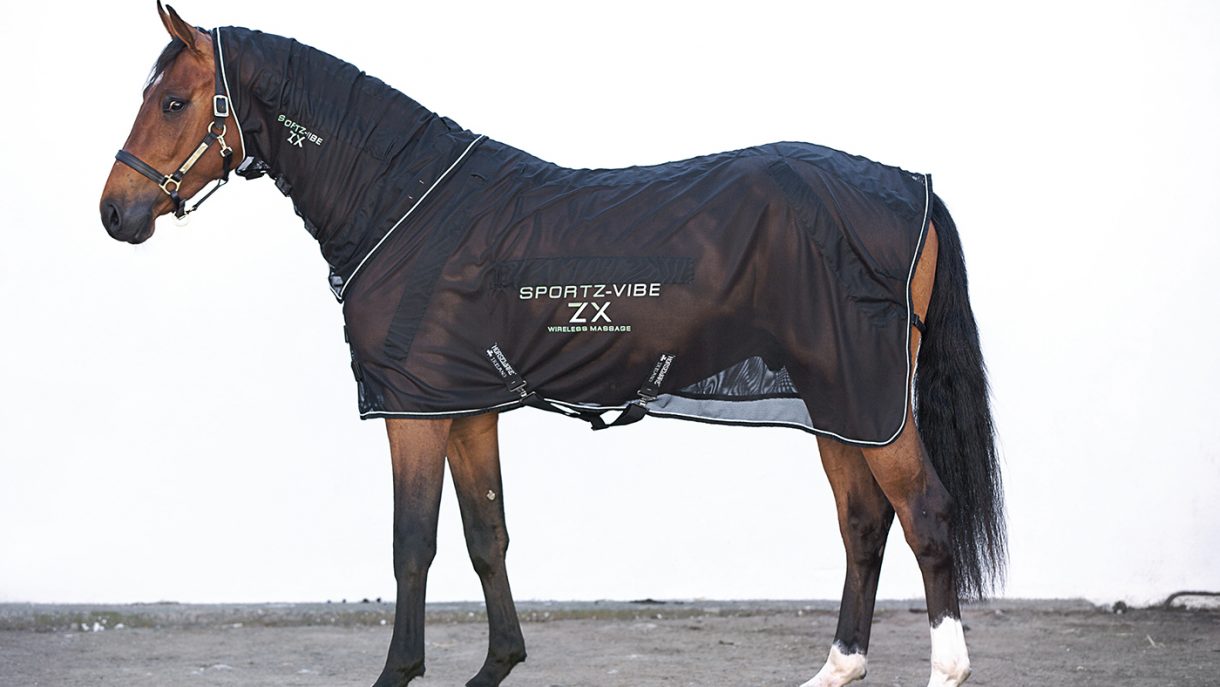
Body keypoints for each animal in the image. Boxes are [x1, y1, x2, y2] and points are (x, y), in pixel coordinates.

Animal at [99, 5, 1005, 686]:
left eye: (173, 102)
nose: (115, 213)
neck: (404, 201)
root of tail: (912, 187)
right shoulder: (467, 407)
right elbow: (486, 534)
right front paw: (496, 663)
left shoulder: (414, 411)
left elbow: (412, 543)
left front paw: (399, 671)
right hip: (842, 400)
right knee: (863, 521)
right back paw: (838, 666)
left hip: (869, 398)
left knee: (924, 513)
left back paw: (946, 668)